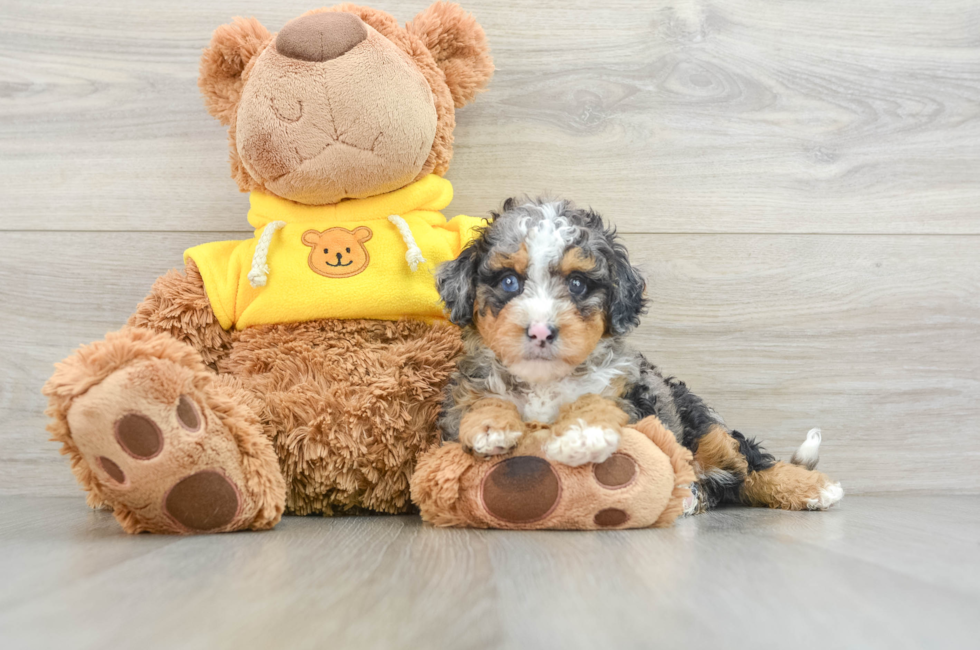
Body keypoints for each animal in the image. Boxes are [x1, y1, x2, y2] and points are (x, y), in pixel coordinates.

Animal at [436, 197, 844, 512]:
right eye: (509, 282)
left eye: (577, 284)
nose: (540, 331)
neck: (545, 383)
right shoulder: (462, 398)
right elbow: (479, 402)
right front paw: (491, 425)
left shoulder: (632, 395)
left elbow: (600, 403)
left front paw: (584, 432)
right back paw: (690, 496)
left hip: (701, 426)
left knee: (749, 466)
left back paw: (814, 488)